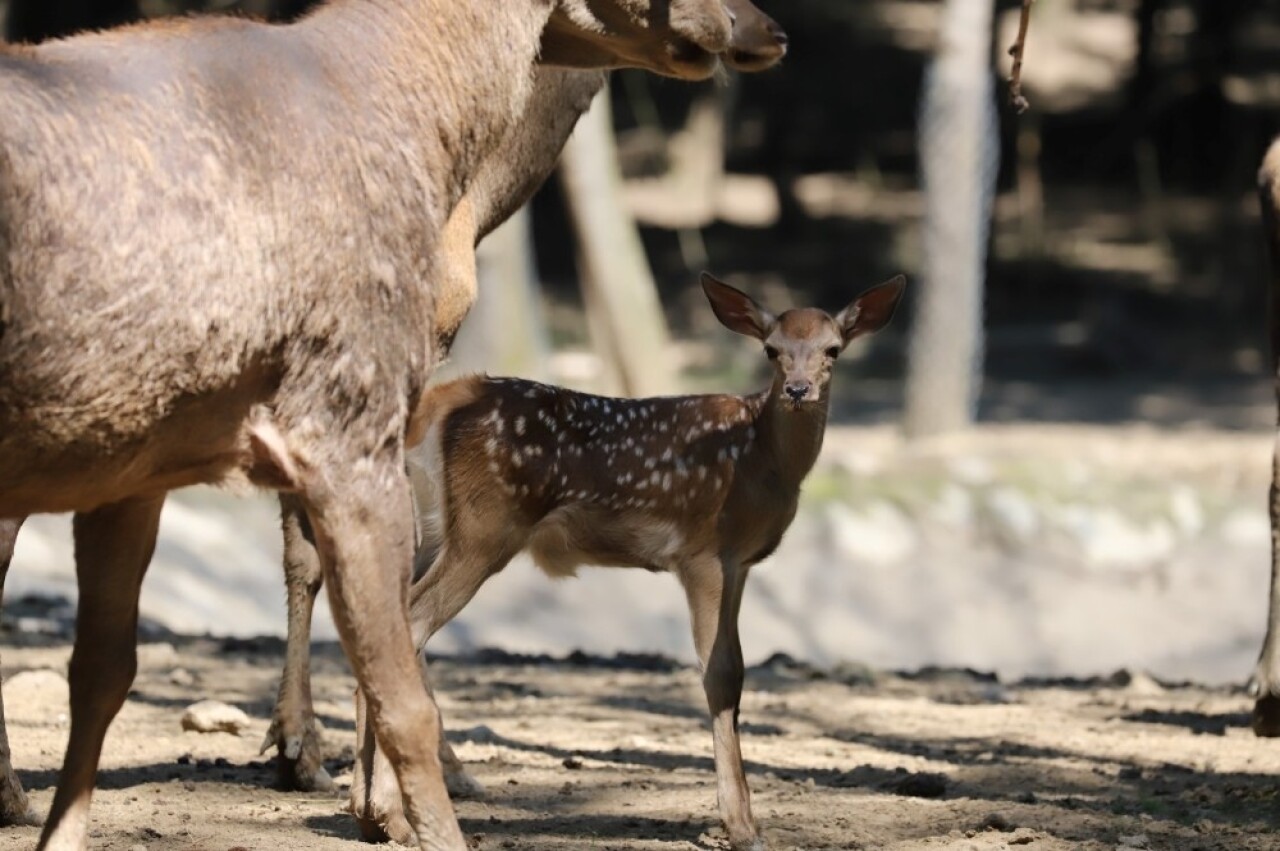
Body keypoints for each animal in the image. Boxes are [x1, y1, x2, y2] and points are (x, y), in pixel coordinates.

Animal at [355, 273, 906, 849]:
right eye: (771, 350)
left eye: (832, 350)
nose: (799, 390)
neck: (763, 459)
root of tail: (440, 402)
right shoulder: (703, 552)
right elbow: (722, 673)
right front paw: (741, 826)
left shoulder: (740, 563)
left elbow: (736, 667)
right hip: (485, 528)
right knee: (411, 625)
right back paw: (394, 814)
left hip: (432, 532)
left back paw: (372, 813)